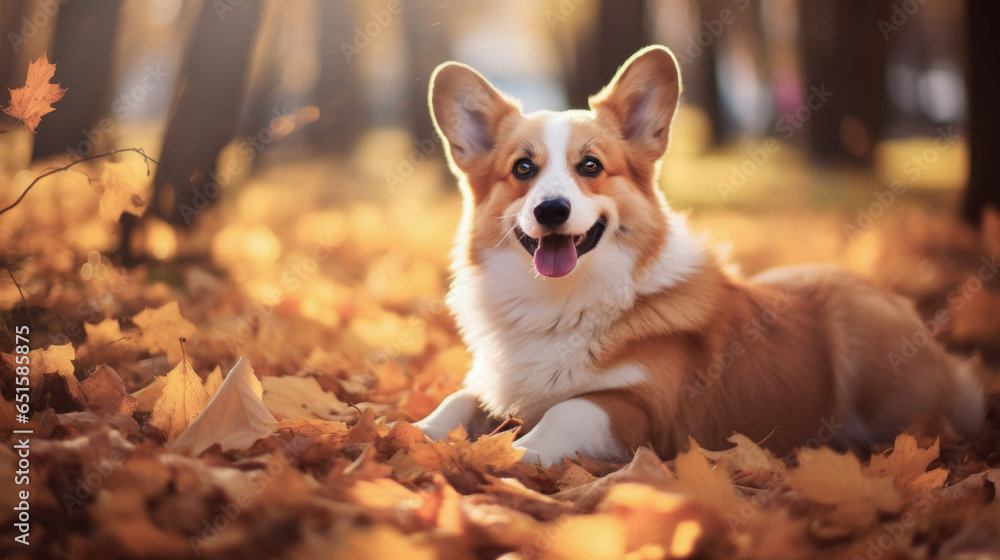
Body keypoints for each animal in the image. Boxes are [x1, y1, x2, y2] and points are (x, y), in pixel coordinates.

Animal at [416, 46, 984, 466]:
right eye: (523, 169)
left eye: (591, 166)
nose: (552, 210)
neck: (559, 304)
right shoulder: (493, 386)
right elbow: (458, 398)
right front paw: (415, 430)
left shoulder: (642, 412)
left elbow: (567, 411)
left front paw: (515, 452)